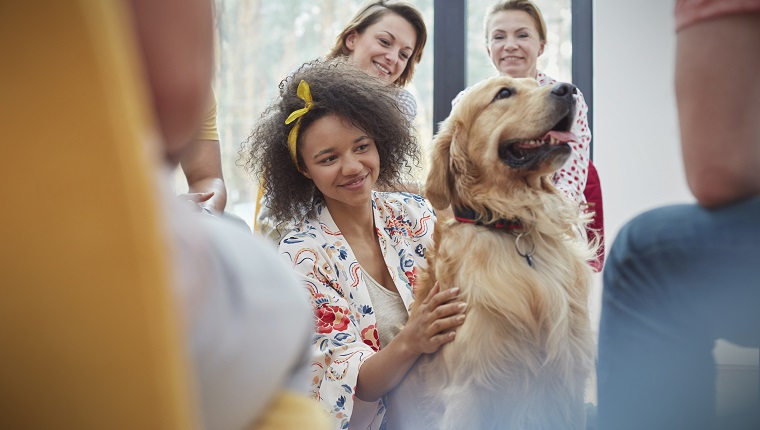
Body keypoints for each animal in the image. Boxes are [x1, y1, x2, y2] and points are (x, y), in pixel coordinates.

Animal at [388, 76, 596, 430]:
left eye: (534, 83)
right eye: (504, 93)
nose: (569, 90)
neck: (511, 223)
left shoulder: (569, 377)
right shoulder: (469, 390)